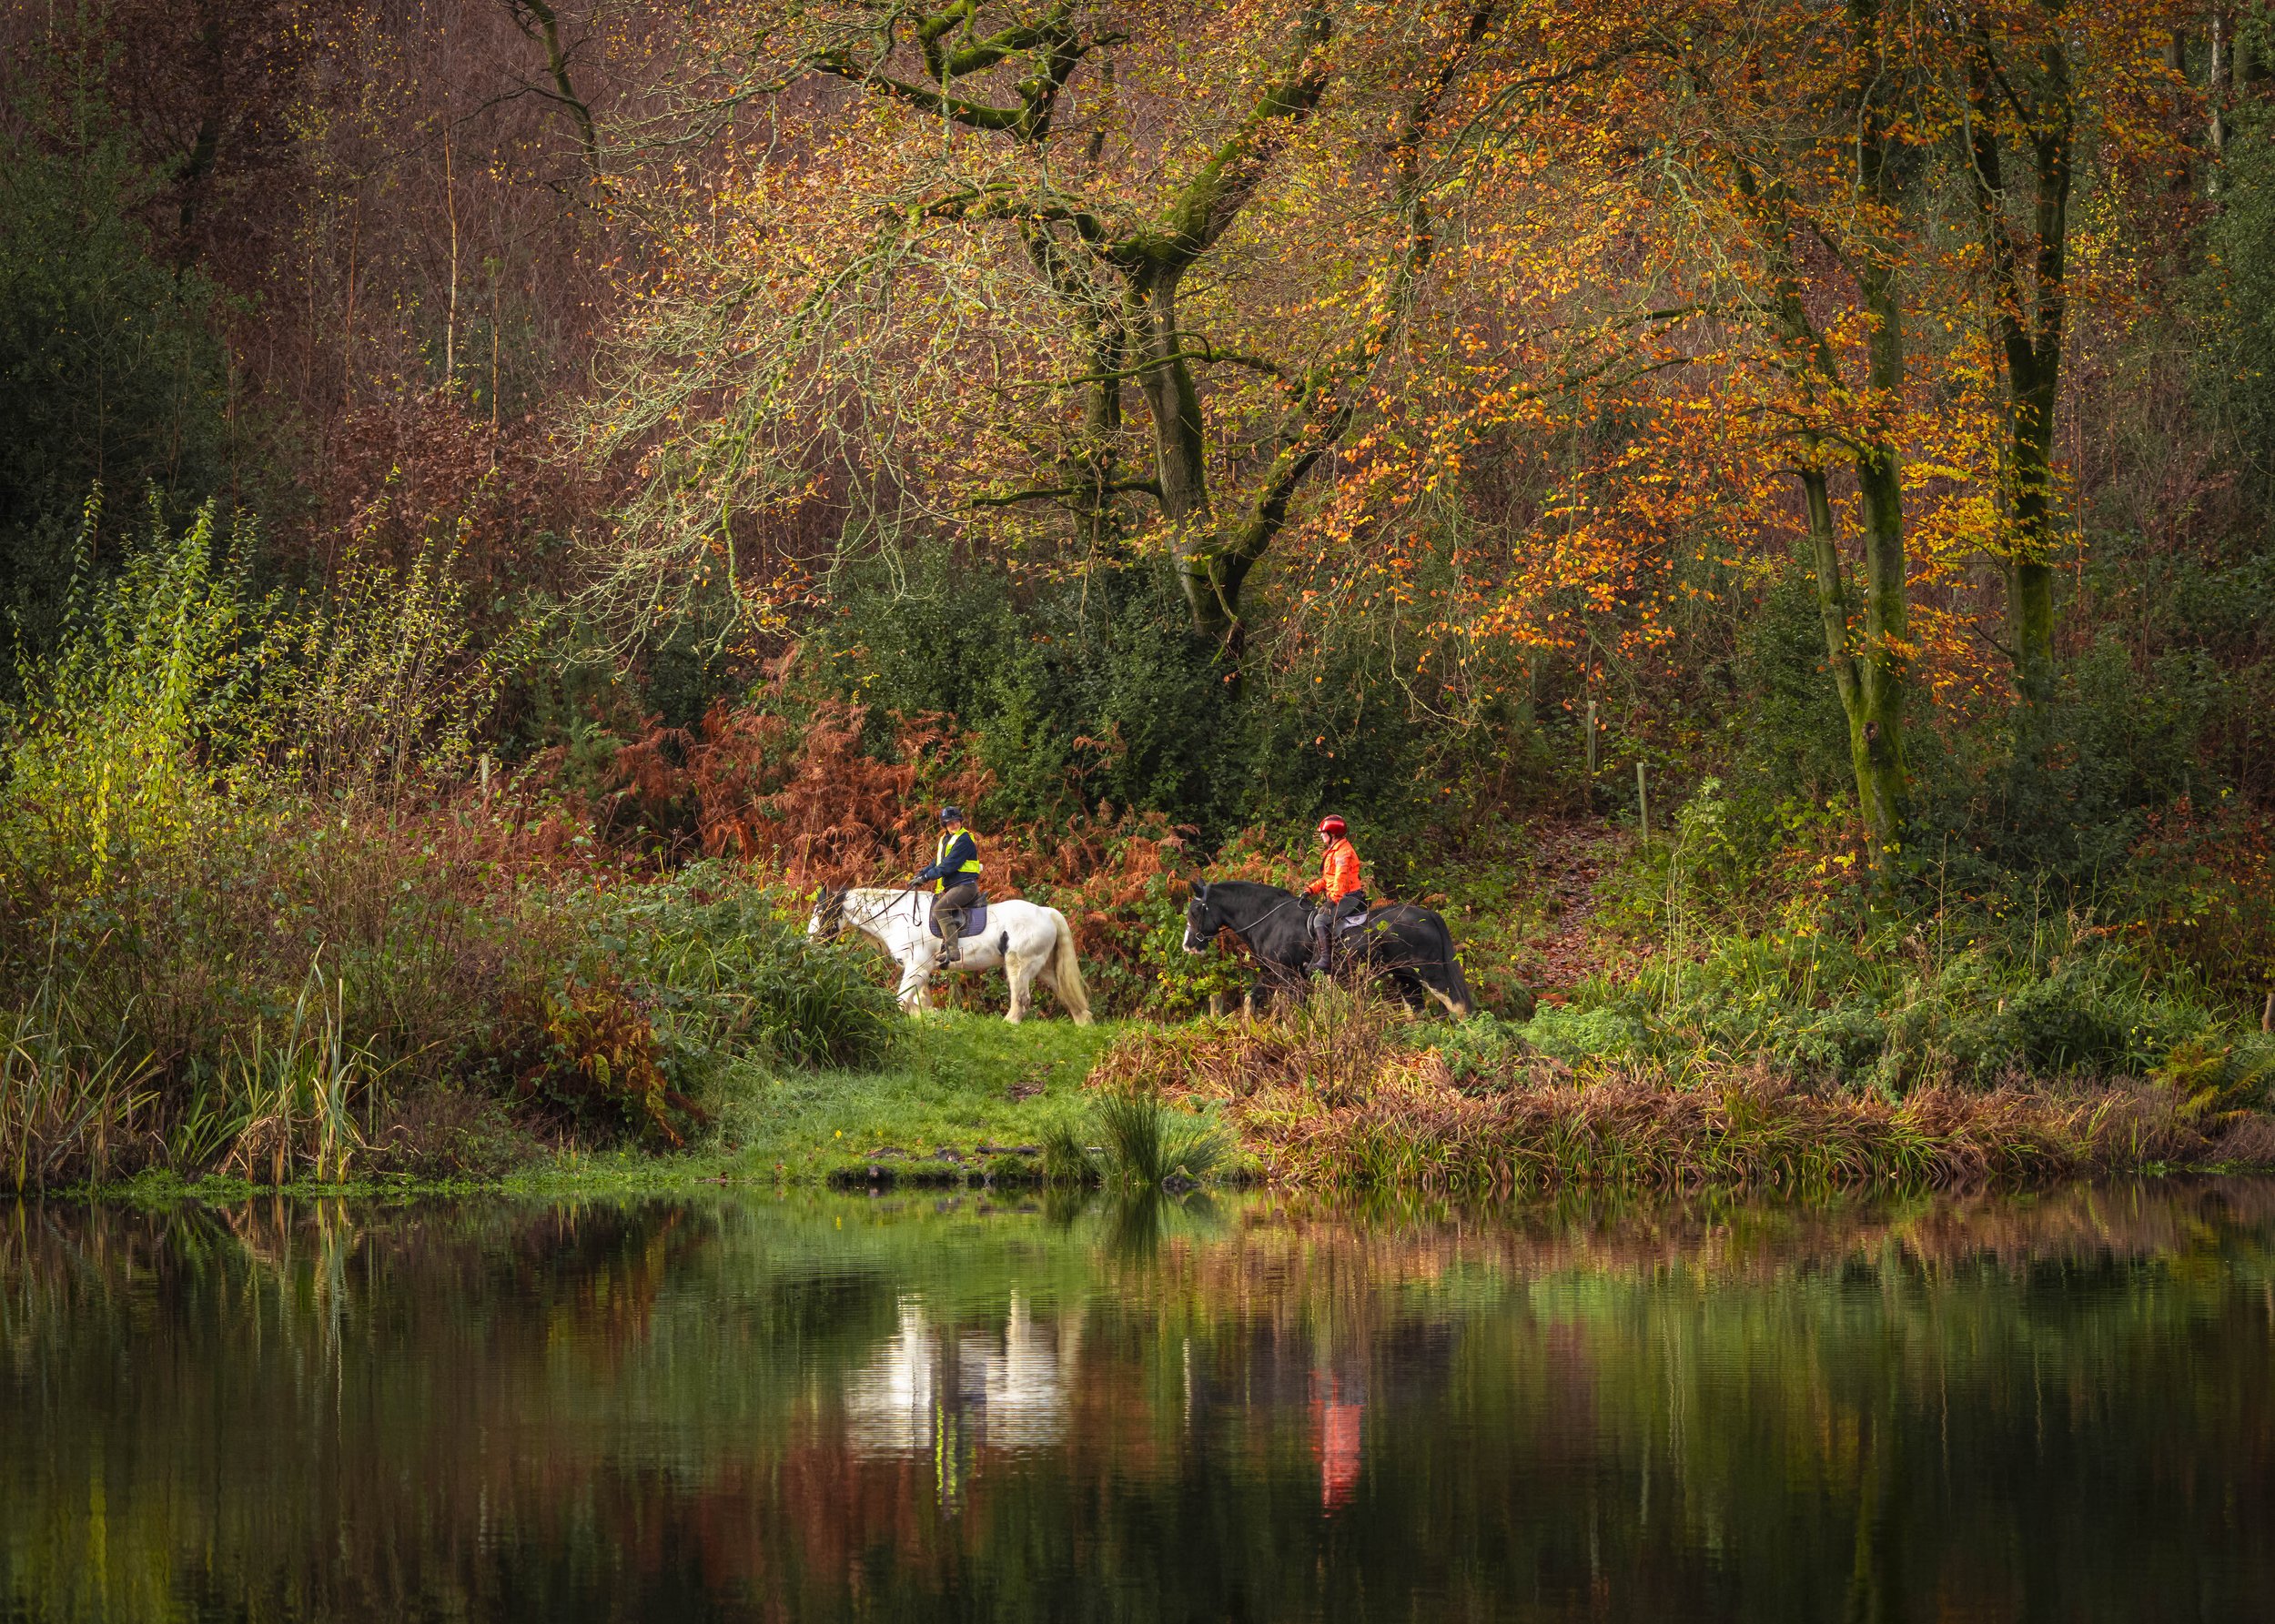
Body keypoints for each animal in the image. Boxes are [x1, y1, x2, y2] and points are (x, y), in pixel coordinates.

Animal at [808, 886, 1093, 1025]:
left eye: (821, 912)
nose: (811, 941)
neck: (898, 918)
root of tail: (1045, 912)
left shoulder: (918, 966)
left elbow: (902, 1002)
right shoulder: (918, 969)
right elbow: (919, 1002)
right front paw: (929, 1019)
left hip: (1019, 964)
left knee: (1021, 1000)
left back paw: (1008, 1023)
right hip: (1042, 967)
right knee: (1065, 991)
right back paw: (1084, 1023)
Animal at [1182, 878, 1475, 1019]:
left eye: (1195, 911)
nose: (1188, 946)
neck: (1269, 918)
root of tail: (1428, 914)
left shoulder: (1291, 977)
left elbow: (1297, 1011)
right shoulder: (1272, 973)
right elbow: (1250, 1002)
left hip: (1430, 972)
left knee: (1457, 1006)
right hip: (1404, 976)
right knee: (1416, 1010)